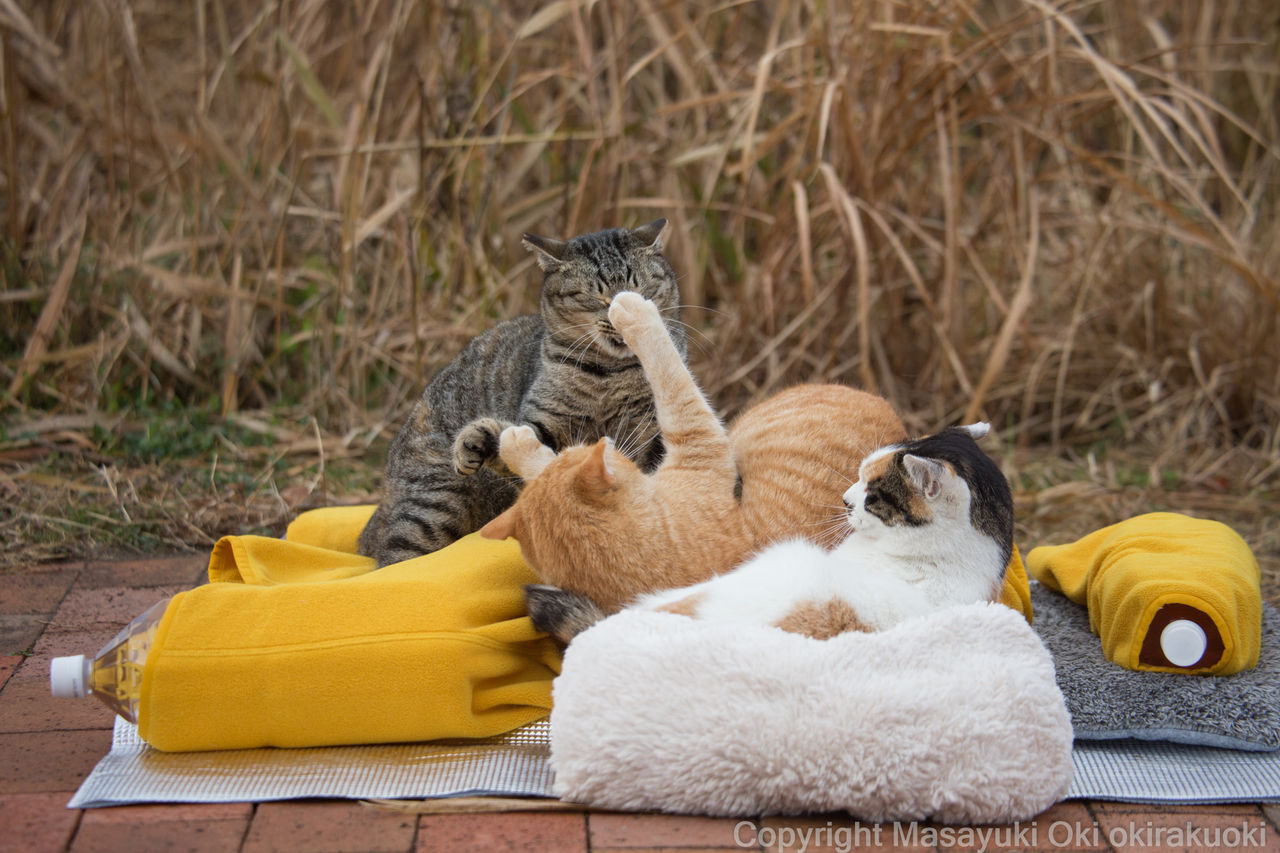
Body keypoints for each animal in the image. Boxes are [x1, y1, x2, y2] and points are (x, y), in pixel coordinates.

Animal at [355, 219, 686, 563]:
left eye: (640, 291)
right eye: (595, 298)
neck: (608, 375)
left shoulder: (647, 433)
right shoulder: (542, 423)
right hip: (436, 503)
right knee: (393, 560)